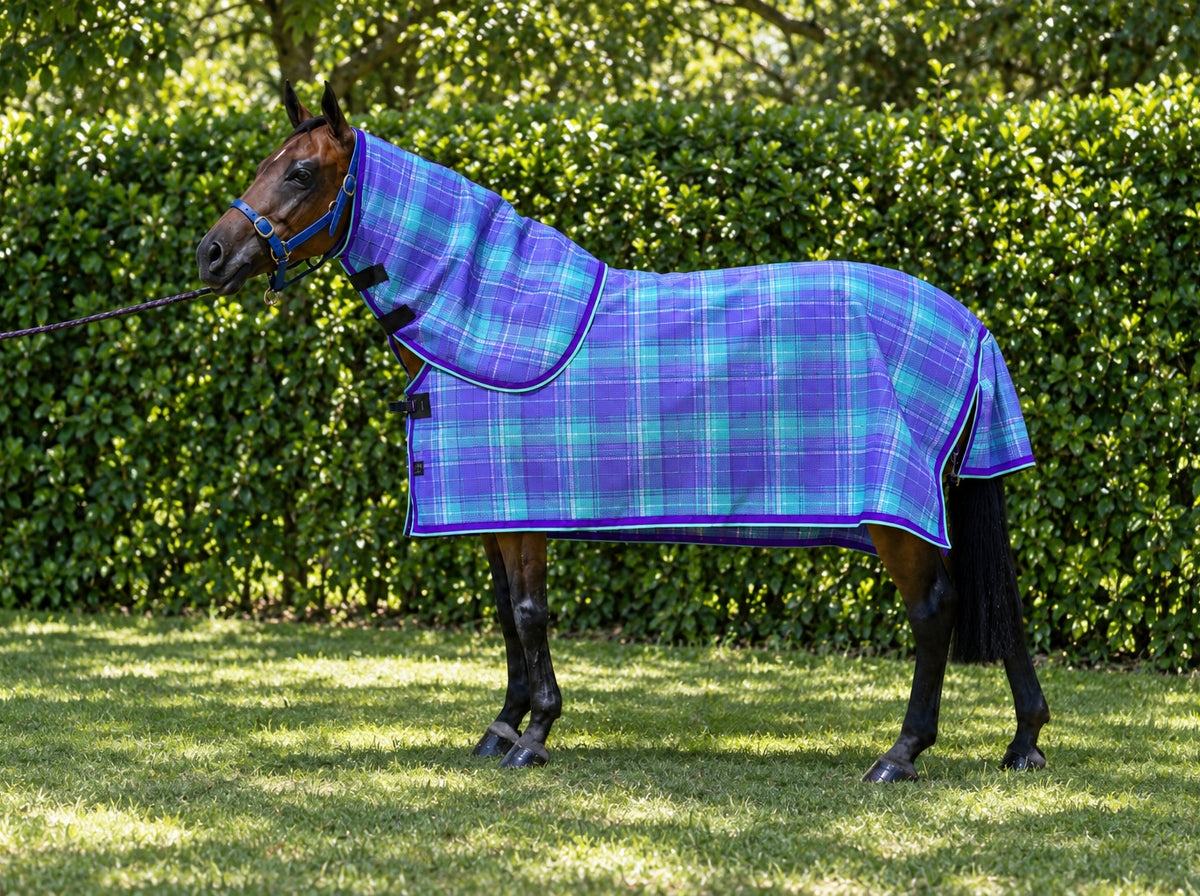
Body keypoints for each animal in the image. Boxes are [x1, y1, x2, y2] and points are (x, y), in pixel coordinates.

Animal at [196, 83, 1049, 782]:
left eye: (300, 173)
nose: (210, 253)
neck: (485, 313)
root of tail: (969, 327)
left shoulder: (524, 513)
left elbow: (531, 613)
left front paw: (536, 734)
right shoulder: (494, 513)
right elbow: (505, 614)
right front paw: (502, 727)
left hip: (895, 516)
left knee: (934, 610)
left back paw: (901, 753)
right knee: (993, 606)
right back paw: (1024, 742)